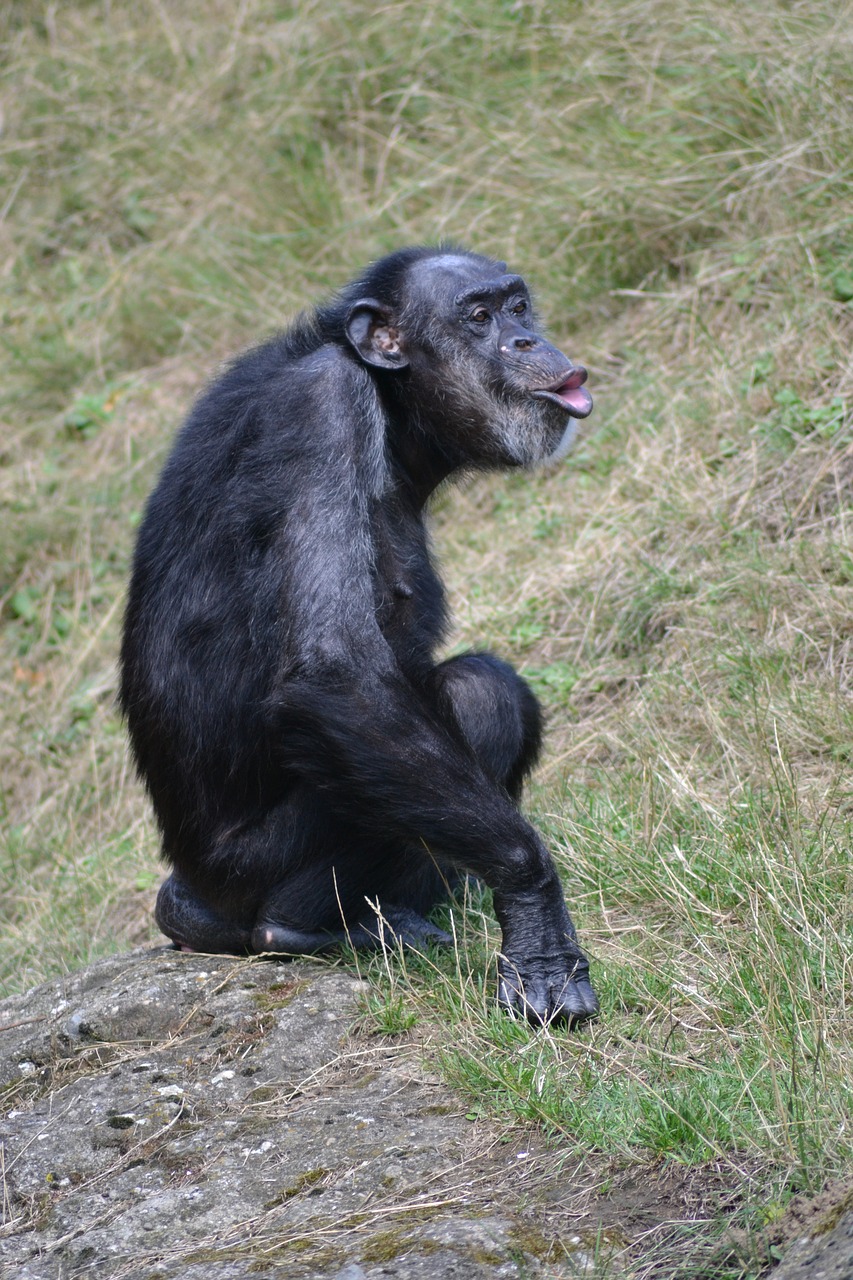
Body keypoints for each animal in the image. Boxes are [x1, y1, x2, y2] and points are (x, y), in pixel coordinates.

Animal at [119, 247, 596, 1029]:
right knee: (481, 694)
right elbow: (335, 671)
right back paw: (319, 929)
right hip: (255, 868)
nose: (528, 339)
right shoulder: (320, 409)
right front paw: (539, 923)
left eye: (518, 305)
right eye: (478, 317)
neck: (391, 408)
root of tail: (192, 900)